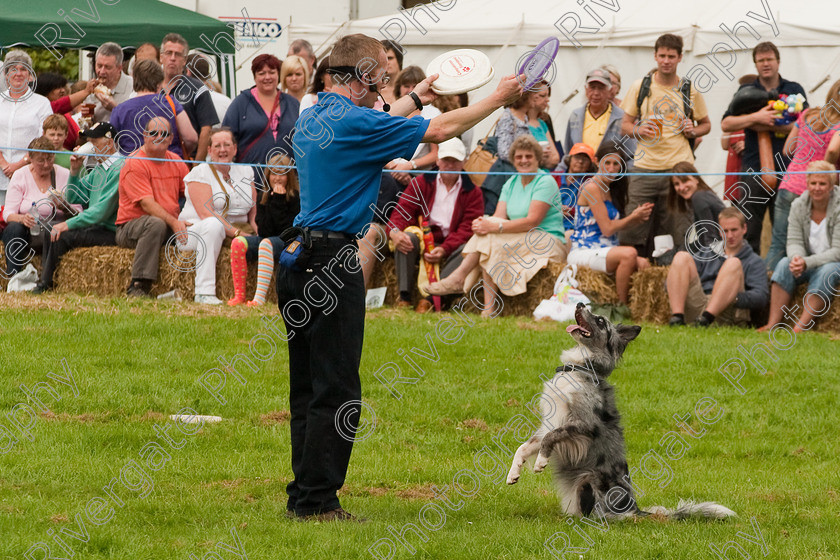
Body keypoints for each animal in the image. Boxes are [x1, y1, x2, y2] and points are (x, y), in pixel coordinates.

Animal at [506, 302, 736, 520]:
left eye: (600, 321)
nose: (579, 303)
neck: (581, 367)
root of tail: (635, 509)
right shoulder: (549, 423)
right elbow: (523, 447)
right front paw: (513, 472)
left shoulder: (583, 425)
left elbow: (551, 438)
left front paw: (540, 461)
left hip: (587, 481)